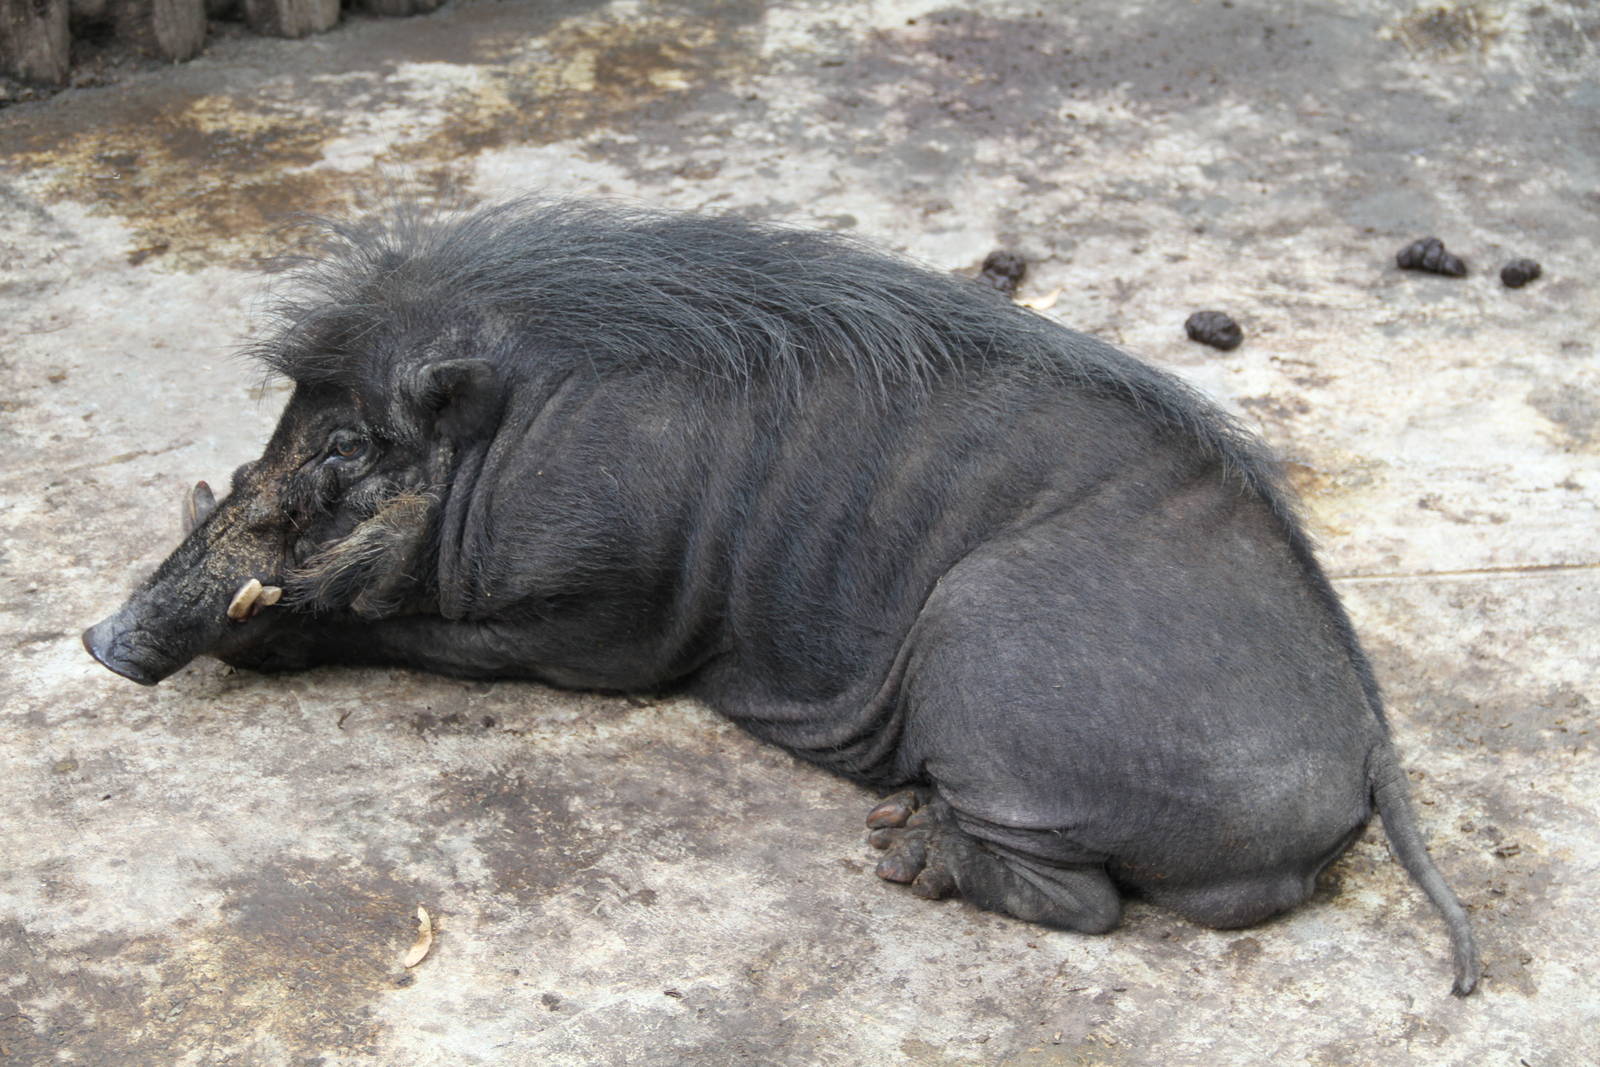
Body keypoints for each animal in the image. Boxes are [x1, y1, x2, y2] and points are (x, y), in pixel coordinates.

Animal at [83, 199, 1480, 994]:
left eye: (342, 449)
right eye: (282, 431)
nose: (99, 637)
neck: (507, 428)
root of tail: (1366, 741)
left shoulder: (595, 617)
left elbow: (415, 630)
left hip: (991, 657)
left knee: (1081, 901)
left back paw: (900, 848)